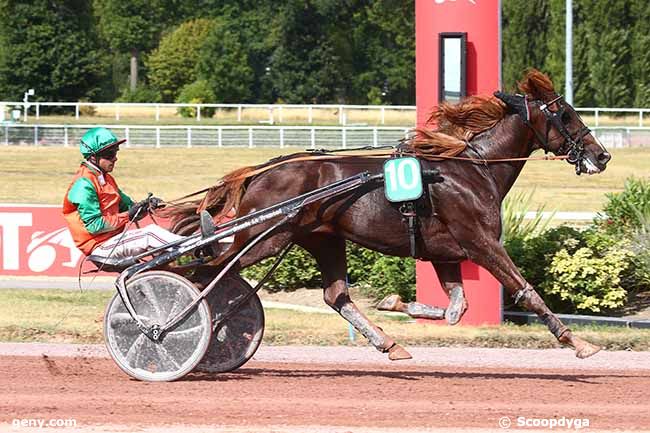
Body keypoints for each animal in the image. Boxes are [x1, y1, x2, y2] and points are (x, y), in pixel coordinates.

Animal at [161, 70, 608, 362]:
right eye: (566, 114)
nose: (601, 155)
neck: (473, 169)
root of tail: (261, 170)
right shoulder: (481, 243)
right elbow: (524, 289)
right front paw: (577, 342)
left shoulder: (444, 252)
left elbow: (455, 310)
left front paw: (395, 303)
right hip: (264, 239)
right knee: (205, 271)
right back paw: (172, 326)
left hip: (321, 237)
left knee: (335, 295)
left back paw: (389, 344)